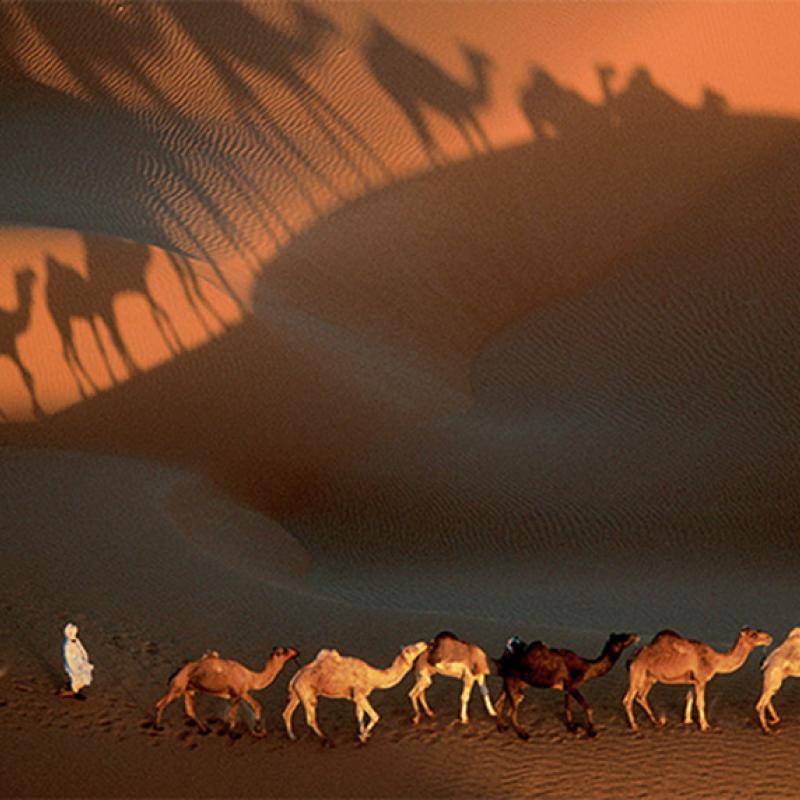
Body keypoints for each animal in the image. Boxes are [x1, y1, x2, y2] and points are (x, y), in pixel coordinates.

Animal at [152, 648, 296, 736]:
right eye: (285, 651)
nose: (296, 652)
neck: (251, 677)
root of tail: (176, 672)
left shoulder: (238, 694)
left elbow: (242, 710)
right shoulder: (239, 692)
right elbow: (246, 709)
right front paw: (241, 731)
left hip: (189, 689)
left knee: (189, 710)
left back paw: (205, 729)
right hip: (178, 687)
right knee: (160, 704)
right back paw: (157, 727)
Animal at [284, 636, 428, 744]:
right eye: (414, 648)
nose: (425, 643)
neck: (373, 677)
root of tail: (294, 678)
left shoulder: (358, 696)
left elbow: (360, 715)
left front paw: (362, 736)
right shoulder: (359, 694)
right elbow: (375, 716)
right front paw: (364, 735)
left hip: (298, 694)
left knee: (287, 713)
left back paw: (292, 736)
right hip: (307, 693)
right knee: (311, 718)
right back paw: (325, 738)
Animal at [494, 632, 636, 736]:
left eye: (623, 634)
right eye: (623, 638)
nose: (634, 635)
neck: (588, 667)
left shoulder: (567, 688)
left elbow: (568, 707)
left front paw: (572, 727)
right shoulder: (572, 685)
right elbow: (587, 707)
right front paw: (592, 731)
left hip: (509, 682)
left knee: (498, 703)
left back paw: (502, 727)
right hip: (513, 683)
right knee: (512, 711)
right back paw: (523, 734)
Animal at [620, 624, 772, 732]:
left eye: (758, 630)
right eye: (753, 634)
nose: (769, 638)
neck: (714, 660)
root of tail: (632, 657)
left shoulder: (693, 680)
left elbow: (689, 697)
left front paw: (688, 721)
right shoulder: (701, 680)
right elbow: (701, 703)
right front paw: (705, 726)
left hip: (650, 678)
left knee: (641, 696)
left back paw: (656, 721)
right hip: (637, 673)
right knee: (628, 699)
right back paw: (634, 725)